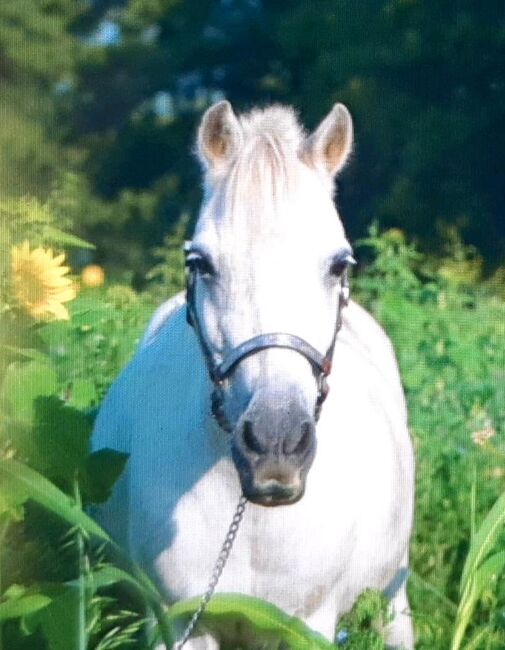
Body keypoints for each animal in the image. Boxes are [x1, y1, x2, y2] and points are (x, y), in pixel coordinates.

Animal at [92, 101, 416, 648]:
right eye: (200, 262)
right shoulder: (178, 621)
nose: (275, 444)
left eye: (339, 265)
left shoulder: (309, 623)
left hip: (392, 596)